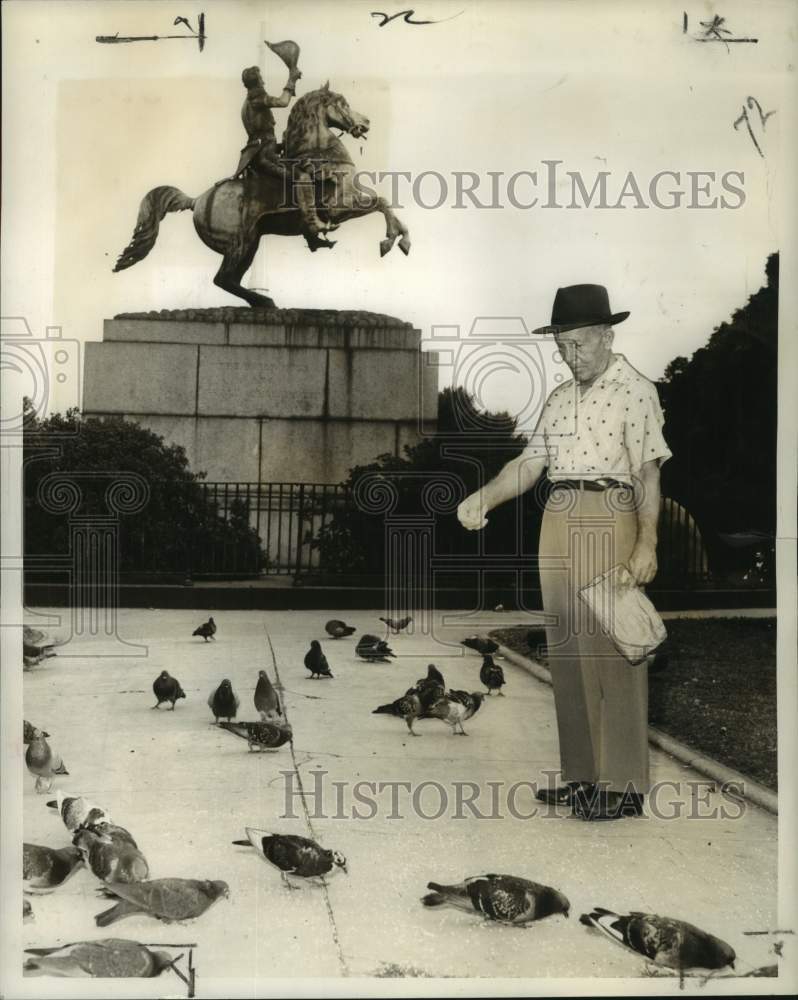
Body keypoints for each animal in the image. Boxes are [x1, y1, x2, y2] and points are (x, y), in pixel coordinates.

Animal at [112, 84, 412, 306]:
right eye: (342, 103)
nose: (366, 122)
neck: (322, 153)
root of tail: (197, 201)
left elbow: (386, 205)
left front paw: (401, 240)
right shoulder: (339, 208)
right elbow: (382, 203)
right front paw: (390, 242)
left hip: (252, 242)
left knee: (229, 280)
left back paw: (263, 302)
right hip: (239, 242)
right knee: (222, 279)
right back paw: (266, 302)